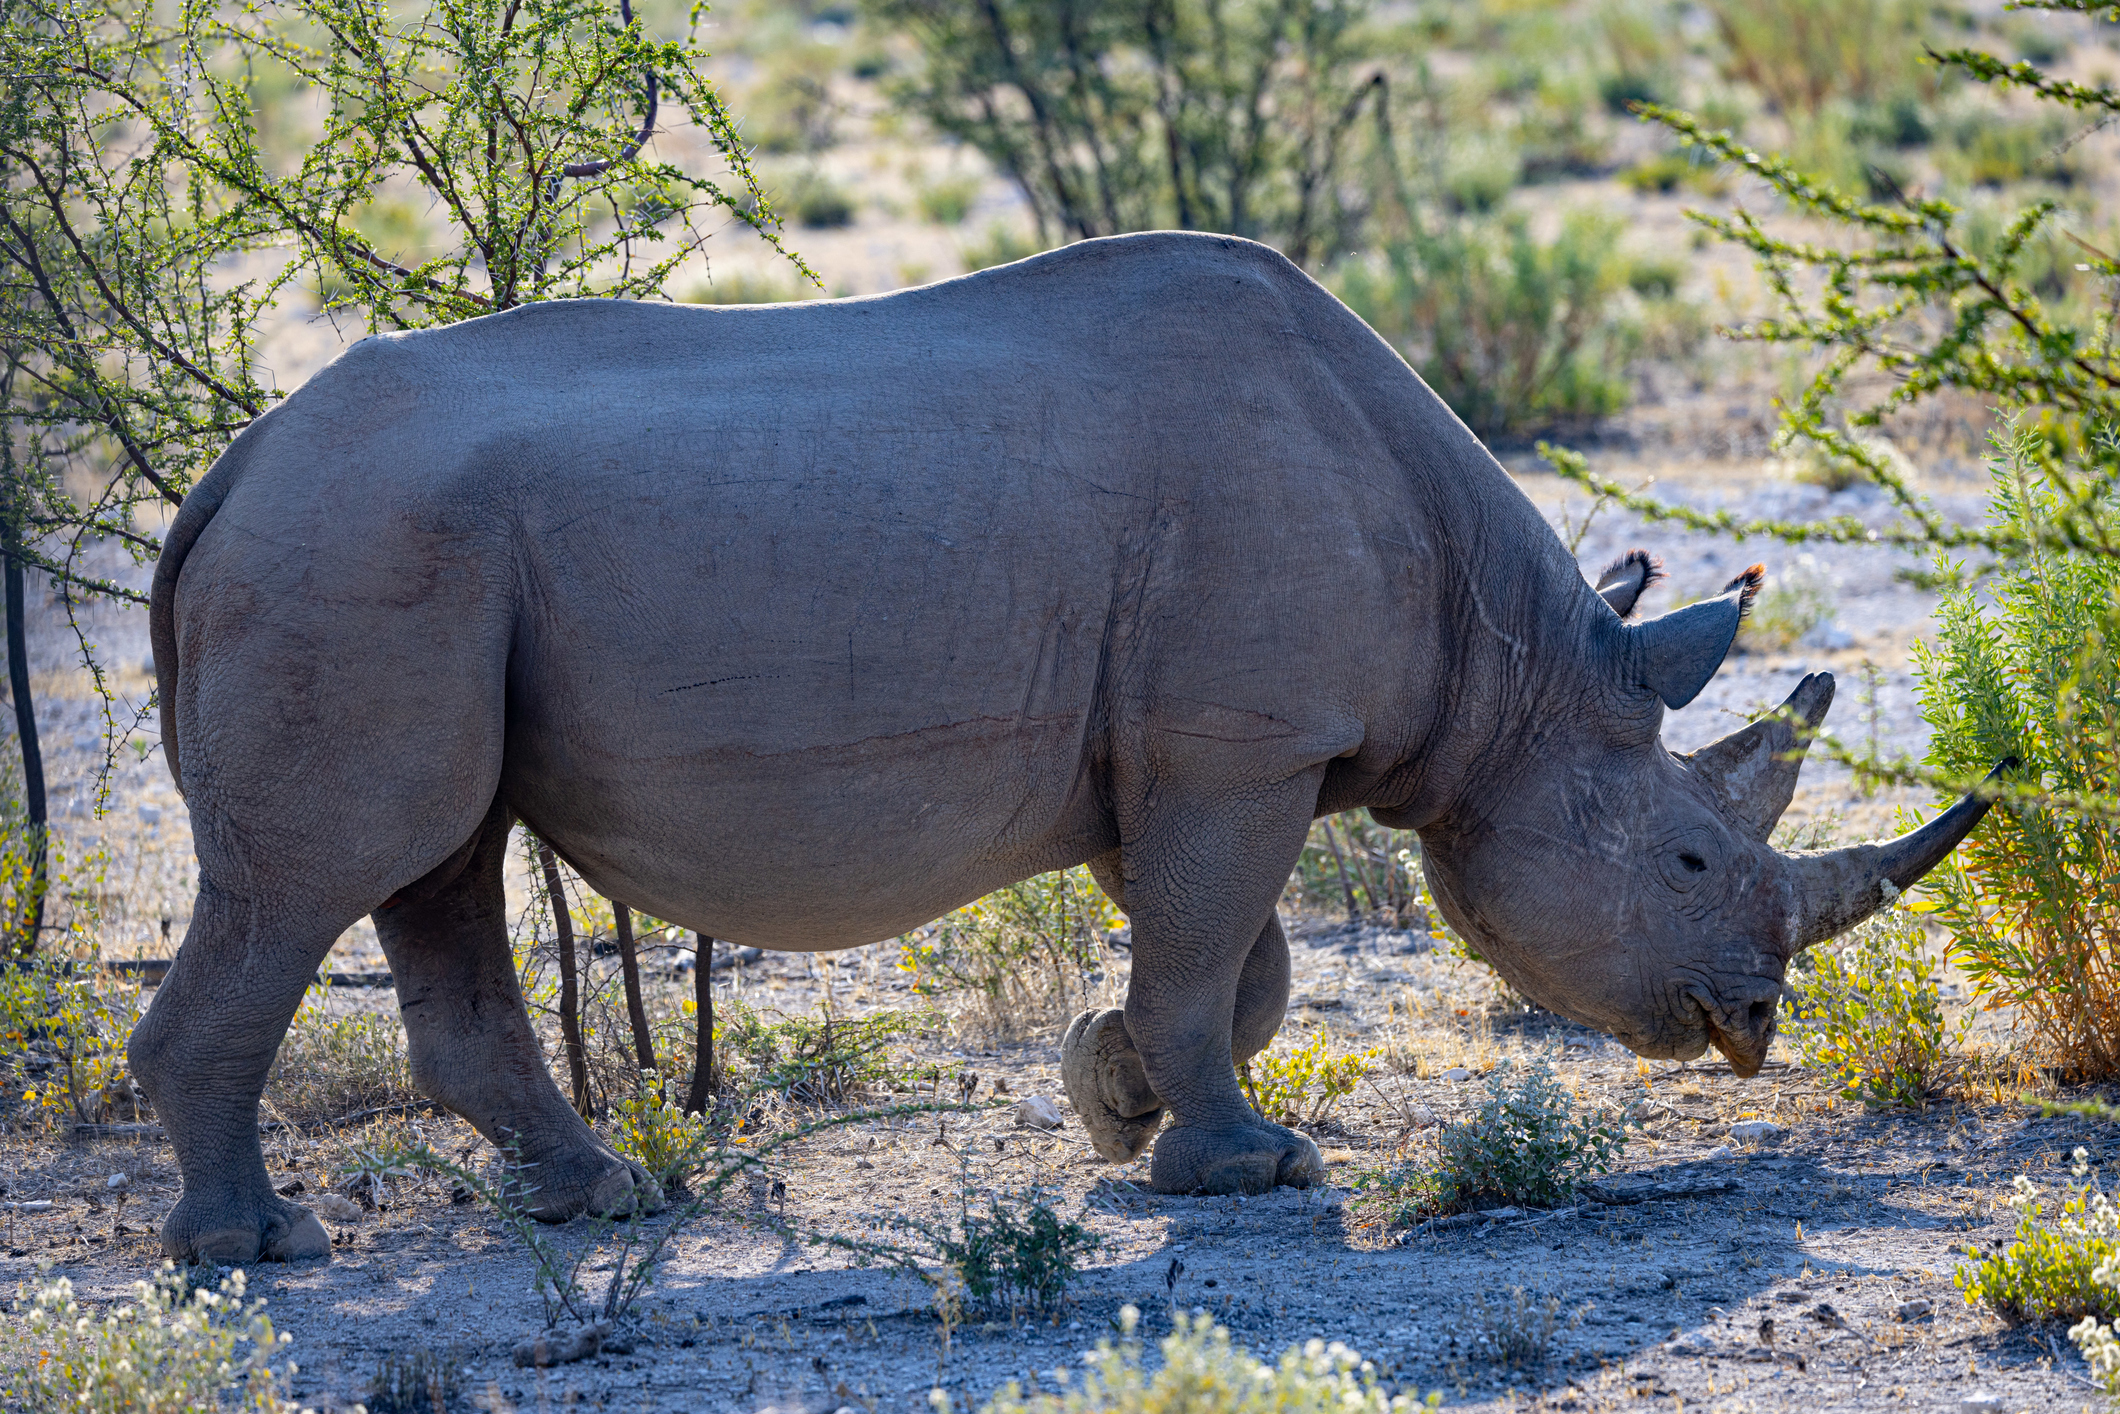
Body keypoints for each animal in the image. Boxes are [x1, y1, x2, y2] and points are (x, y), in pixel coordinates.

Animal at [132, 231, 1999, 1264]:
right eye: (1689, 857)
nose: (1751, 1025)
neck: (1518, 663)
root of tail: (228, 473)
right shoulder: (1238, 742)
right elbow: (1211, 948)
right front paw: (1247, 1168)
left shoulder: (1188, 744)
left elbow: (1231, 962)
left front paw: (1112, 1097)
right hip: (357, 549)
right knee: (324, 873)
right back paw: (255, 1250)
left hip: (388, 556)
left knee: (432, 864)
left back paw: (594, 1202)